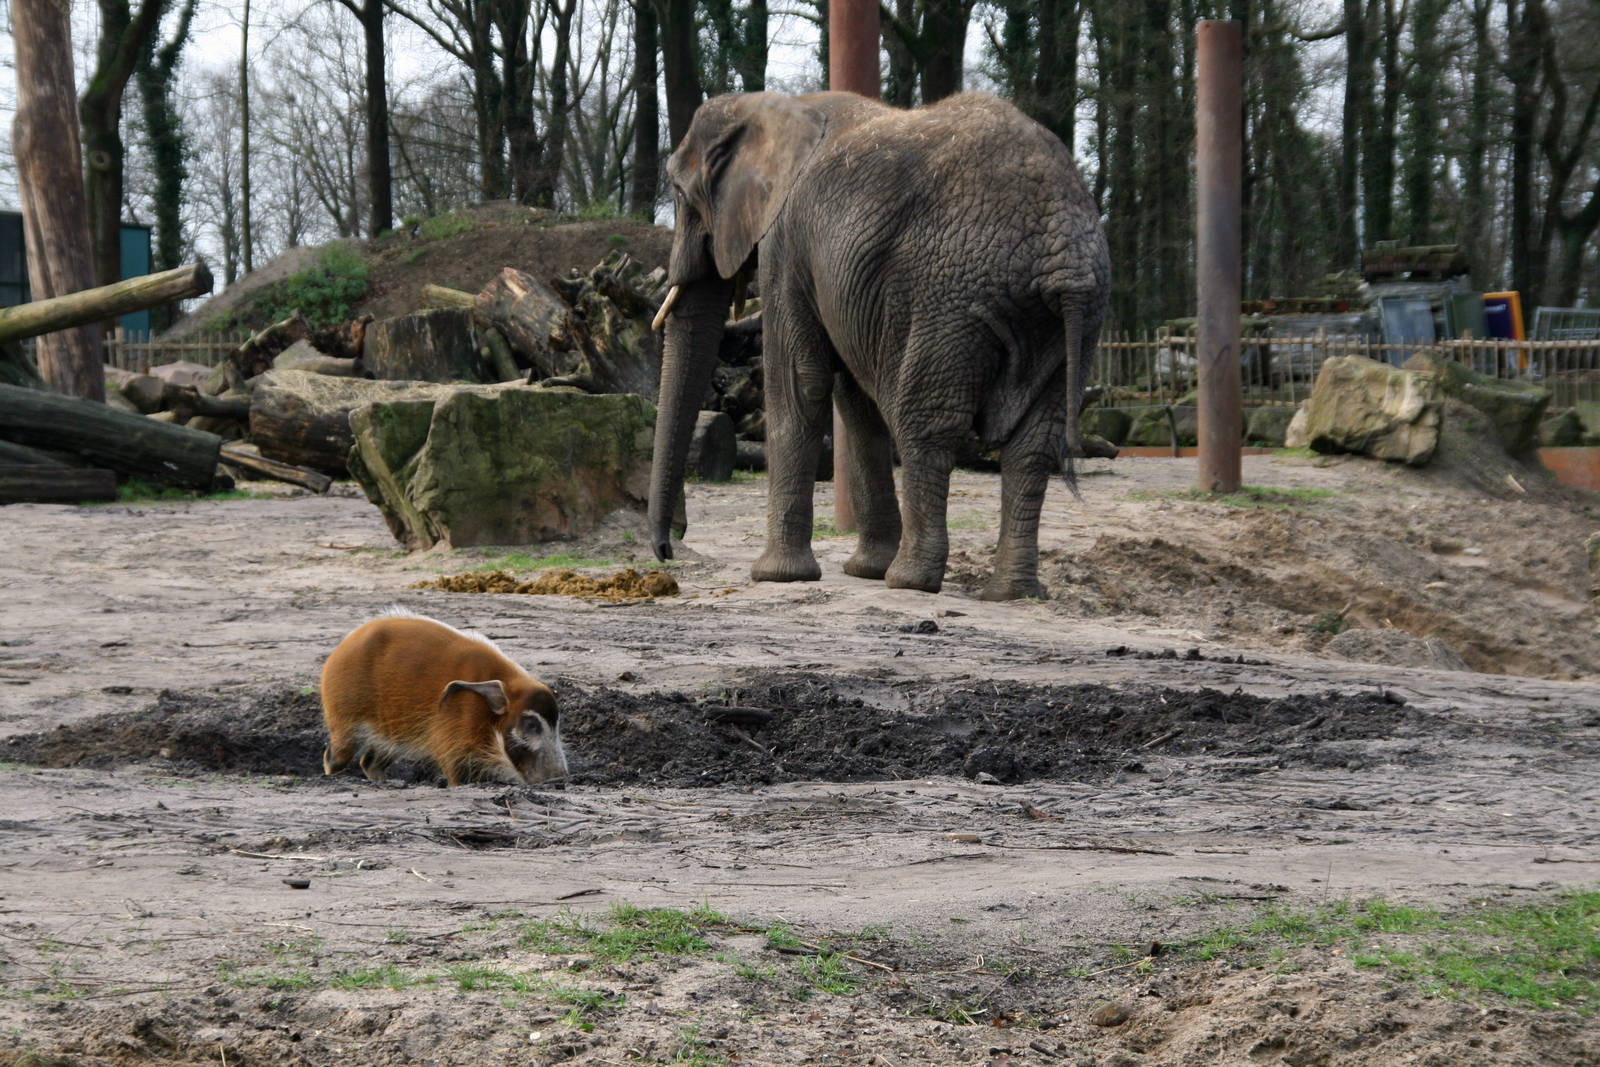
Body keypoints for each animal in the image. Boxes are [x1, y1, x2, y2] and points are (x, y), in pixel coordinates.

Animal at [648, 90, 1110, 601]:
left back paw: (910, 580)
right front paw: (862, 569)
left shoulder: (787, 244)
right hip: (1071, 320)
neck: (772, 105)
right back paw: (1011, 593)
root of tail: (1061, 249)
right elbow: (855, 401)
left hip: (950, 296)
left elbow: (800, 384)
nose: (667, 550)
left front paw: (775, 576)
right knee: (1033, 444)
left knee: (927, 425)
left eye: (680, 196)